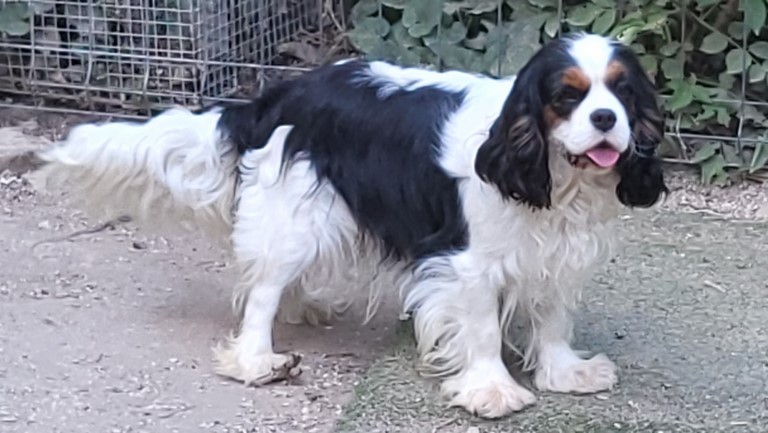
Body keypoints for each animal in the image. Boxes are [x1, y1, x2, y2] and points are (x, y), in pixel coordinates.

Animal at [40, 33, 664, 418]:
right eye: (567, 95)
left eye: (623, 92)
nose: (605, 119)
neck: (556, 176)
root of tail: (282, 91)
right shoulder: (467, 263)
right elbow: (484, 328)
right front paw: (492, 390)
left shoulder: (559, 250)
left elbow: (553, 317)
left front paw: (564, 373)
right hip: (295, 216)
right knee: (261, 293)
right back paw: (257, 360)